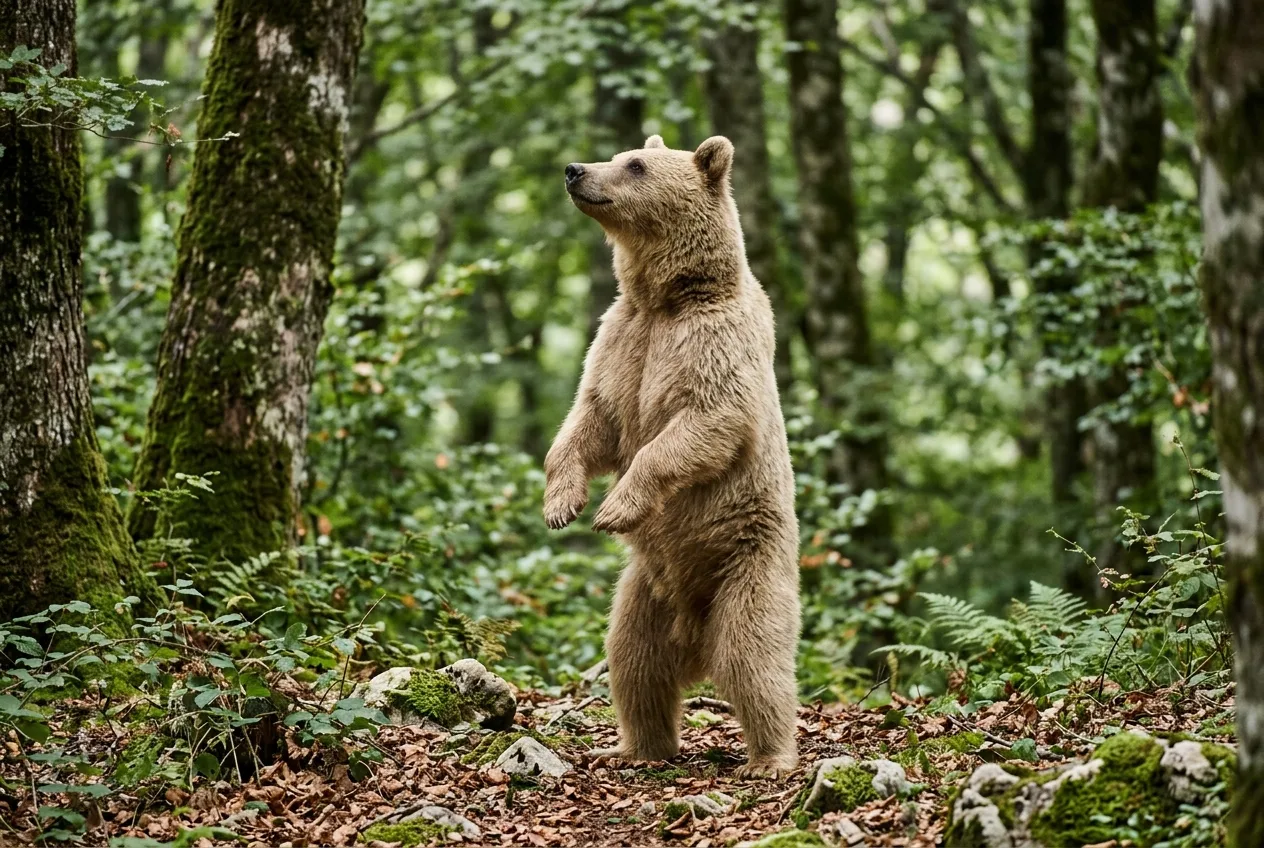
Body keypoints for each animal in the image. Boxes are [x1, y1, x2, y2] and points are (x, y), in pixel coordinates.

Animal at [543, 133, 801, 778]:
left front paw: (613, 508)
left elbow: (703, 420)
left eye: (636, 165)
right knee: (634, 661)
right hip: (644, 592)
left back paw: (769, 756)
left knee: (754, 656)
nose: (575, 169)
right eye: (620, 154)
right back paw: (635, 747)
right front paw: (561, 504)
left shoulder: (712, 343)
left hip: (747, 558)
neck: (668, 297)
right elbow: (589, 420)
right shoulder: (620, 341)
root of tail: (694, 637)